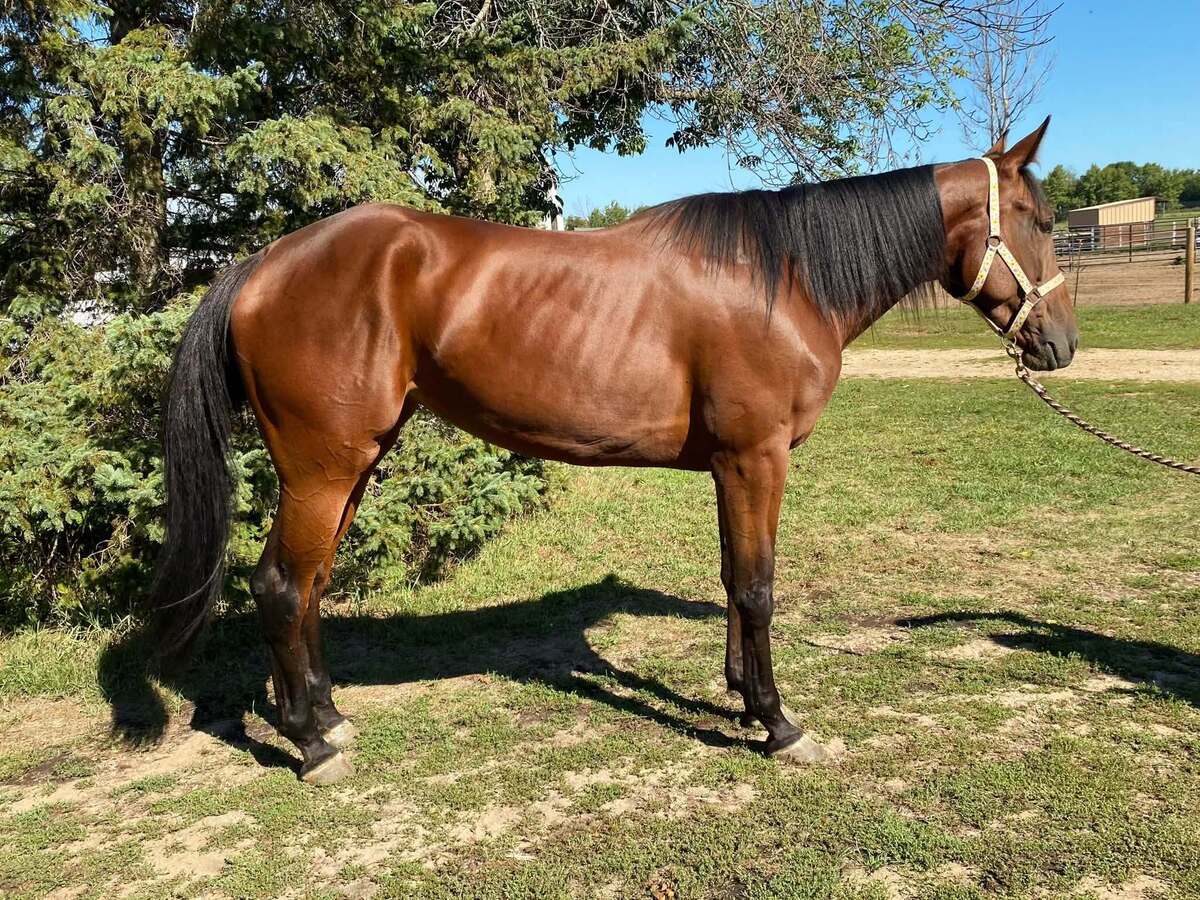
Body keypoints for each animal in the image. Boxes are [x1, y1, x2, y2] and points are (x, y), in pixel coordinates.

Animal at [156, 119, 1078, 784]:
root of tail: (264, 263)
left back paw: (326, 716)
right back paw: (309, 746)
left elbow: (732, 579)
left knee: (308, 586)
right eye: (1037, 222)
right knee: (281, 586)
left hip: (355, 463)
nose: (1061, 345)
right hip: (324, 467)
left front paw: (740, 698)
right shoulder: (757, 459)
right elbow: (758, 587)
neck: (783, 278)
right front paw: (779, 725)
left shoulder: (730, 467)